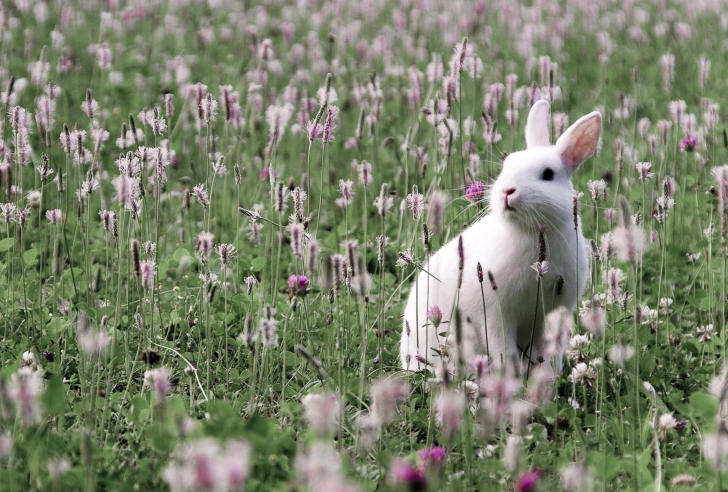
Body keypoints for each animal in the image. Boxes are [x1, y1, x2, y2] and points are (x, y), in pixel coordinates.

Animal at [400, 100, 600, 380]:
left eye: (548, 174)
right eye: (507, 165)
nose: (507, 191)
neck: (529, 232)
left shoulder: (555, 311)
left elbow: (549, 353)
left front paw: (545, 380)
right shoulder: (494, 313)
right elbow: (503, 350)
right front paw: (512, 381)